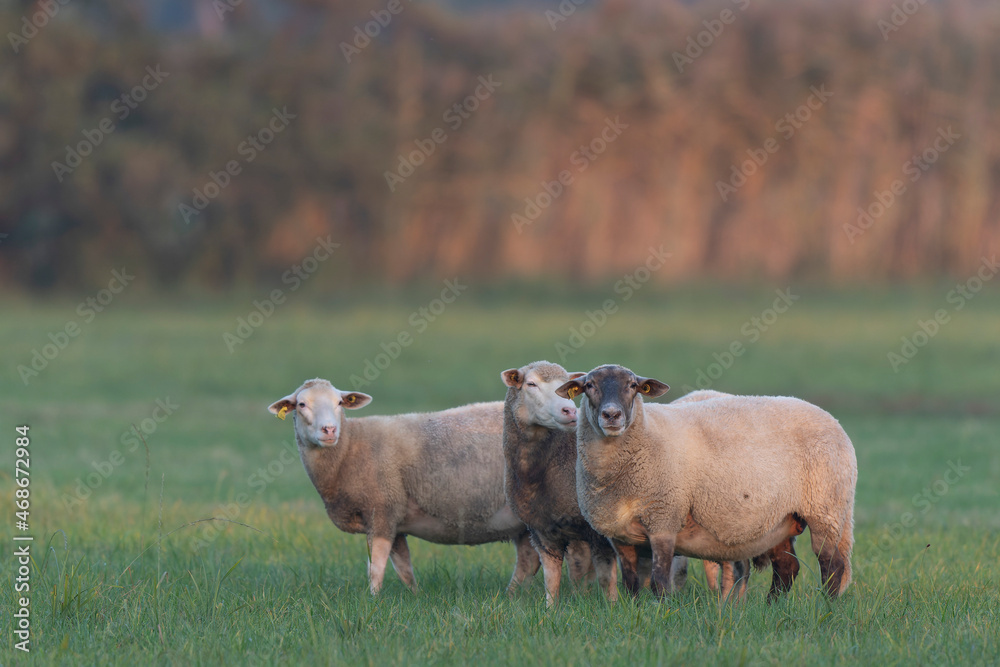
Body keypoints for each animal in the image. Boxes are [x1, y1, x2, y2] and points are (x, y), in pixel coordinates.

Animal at [268, 379, 540, 595]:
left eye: (339, 403)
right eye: (301, 405)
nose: (329, 430)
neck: (349, 447)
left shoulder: (381, 510)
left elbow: (376, 567)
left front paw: (372, 601)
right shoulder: (395, 519)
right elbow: (403, 568)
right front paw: (414, 596)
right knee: (528, 561)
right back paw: (511, 596)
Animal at [556, 365, 856, 601]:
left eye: (633, 386)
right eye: (589, 386)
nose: (611, 415)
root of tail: (832, 419)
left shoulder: (664, 519)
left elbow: (659, 582)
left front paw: (661, 612)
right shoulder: (620, 535)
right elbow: (630, 584)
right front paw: (635, 610)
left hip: (826, 508)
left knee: (832, 566)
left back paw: (826, 608)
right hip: (779, 519)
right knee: (786, 569)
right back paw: (772, 608)